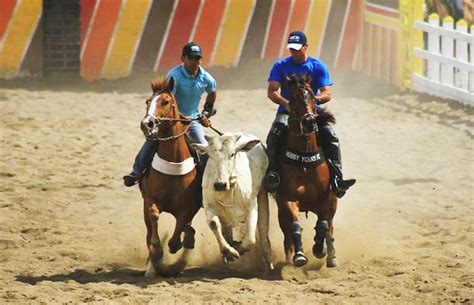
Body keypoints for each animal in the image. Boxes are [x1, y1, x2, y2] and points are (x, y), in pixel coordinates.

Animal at [139, 76, 202, 276]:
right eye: (147, 101)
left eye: (165, 101)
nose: (147, 124)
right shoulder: (149, 198)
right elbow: (153, 216)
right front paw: (157, 250)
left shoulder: (188, 206)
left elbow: (178, 234)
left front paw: (178, 243)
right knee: (148, 231)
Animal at [276, 73, 338, 266]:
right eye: (294, 98)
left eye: (312, 97)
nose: (310, 122)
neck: (304, 160)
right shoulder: (288, 200)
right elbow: (295, 225)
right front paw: (299, 255)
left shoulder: (326, 199)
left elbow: (323, 225)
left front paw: (319, 249)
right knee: (287, 235)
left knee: (330, 226)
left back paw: (331, 256)